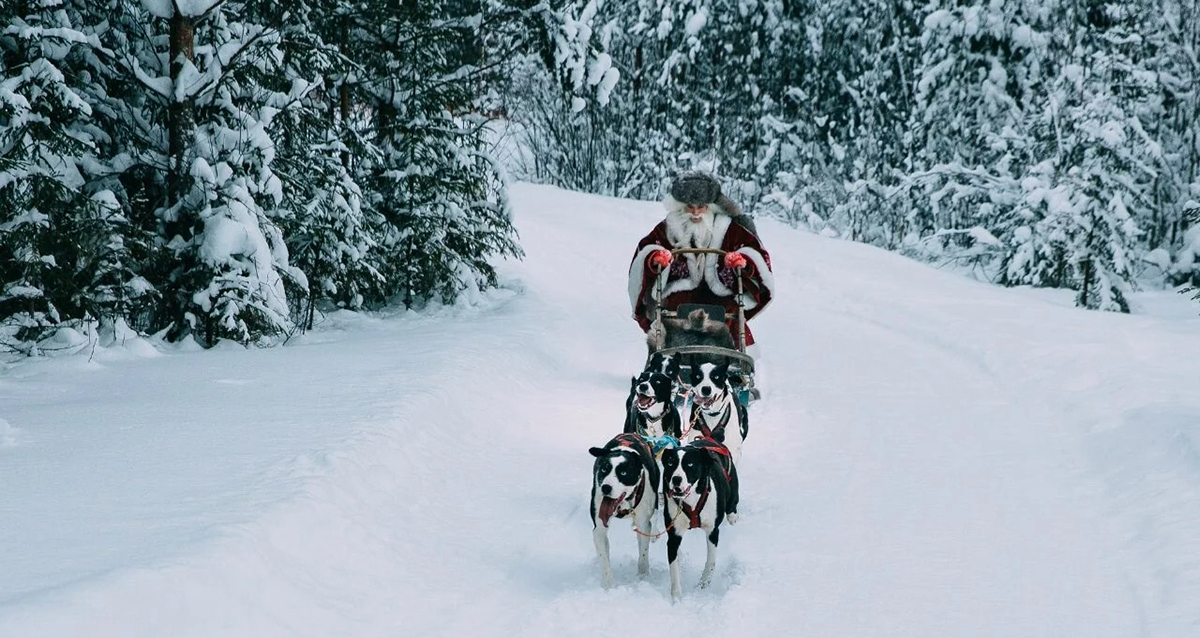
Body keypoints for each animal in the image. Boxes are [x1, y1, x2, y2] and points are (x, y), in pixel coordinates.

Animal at [588, 434, 662, 587]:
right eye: (604, 469)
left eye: (623, 472)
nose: (605, 488)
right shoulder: (599, 527)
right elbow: (604, 559)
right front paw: (609, 587)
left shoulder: (644, 523)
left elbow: (643, 554)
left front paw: (642, 577)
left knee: (655, 515)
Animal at [657, 436, 739, 599]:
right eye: (670, 463)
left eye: (690, 464)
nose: (676, 479)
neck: (691, 501)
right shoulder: (674, 534)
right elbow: (674, 567)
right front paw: (676, 597)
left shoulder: (713, 531)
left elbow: (711, 560)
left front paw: (704, 581)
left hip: (732, 489)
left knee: (732, 506)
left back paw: (733, 517)